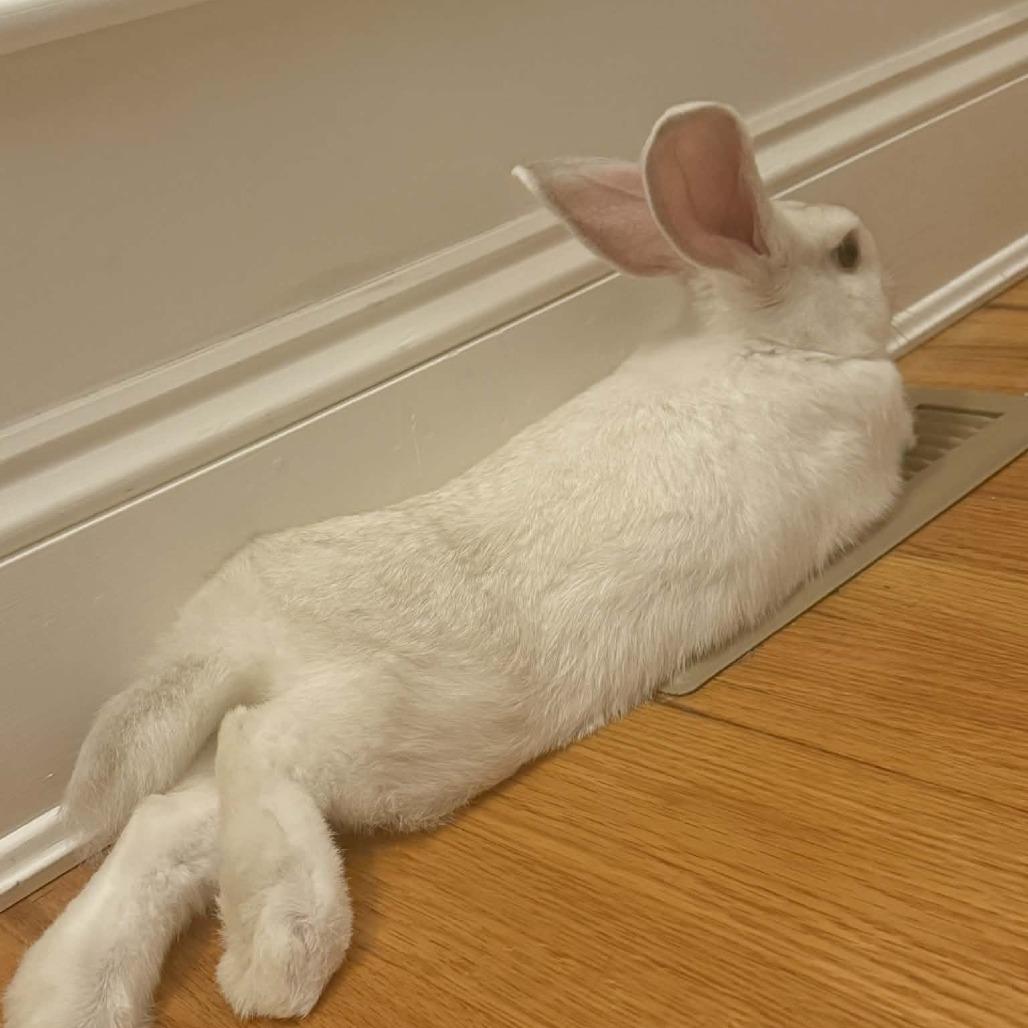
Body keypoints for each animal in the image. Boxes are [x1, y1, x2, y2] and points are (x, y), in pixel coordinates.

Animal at [4, 101, 913, 1027]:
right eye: (847, 252)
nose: (887, 277)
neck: (767, 343)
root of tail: (229, 633)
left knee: (160, 827)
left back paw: (67, 1000)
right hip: (370, 724)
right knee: (255, 746)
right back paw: (279, 954)